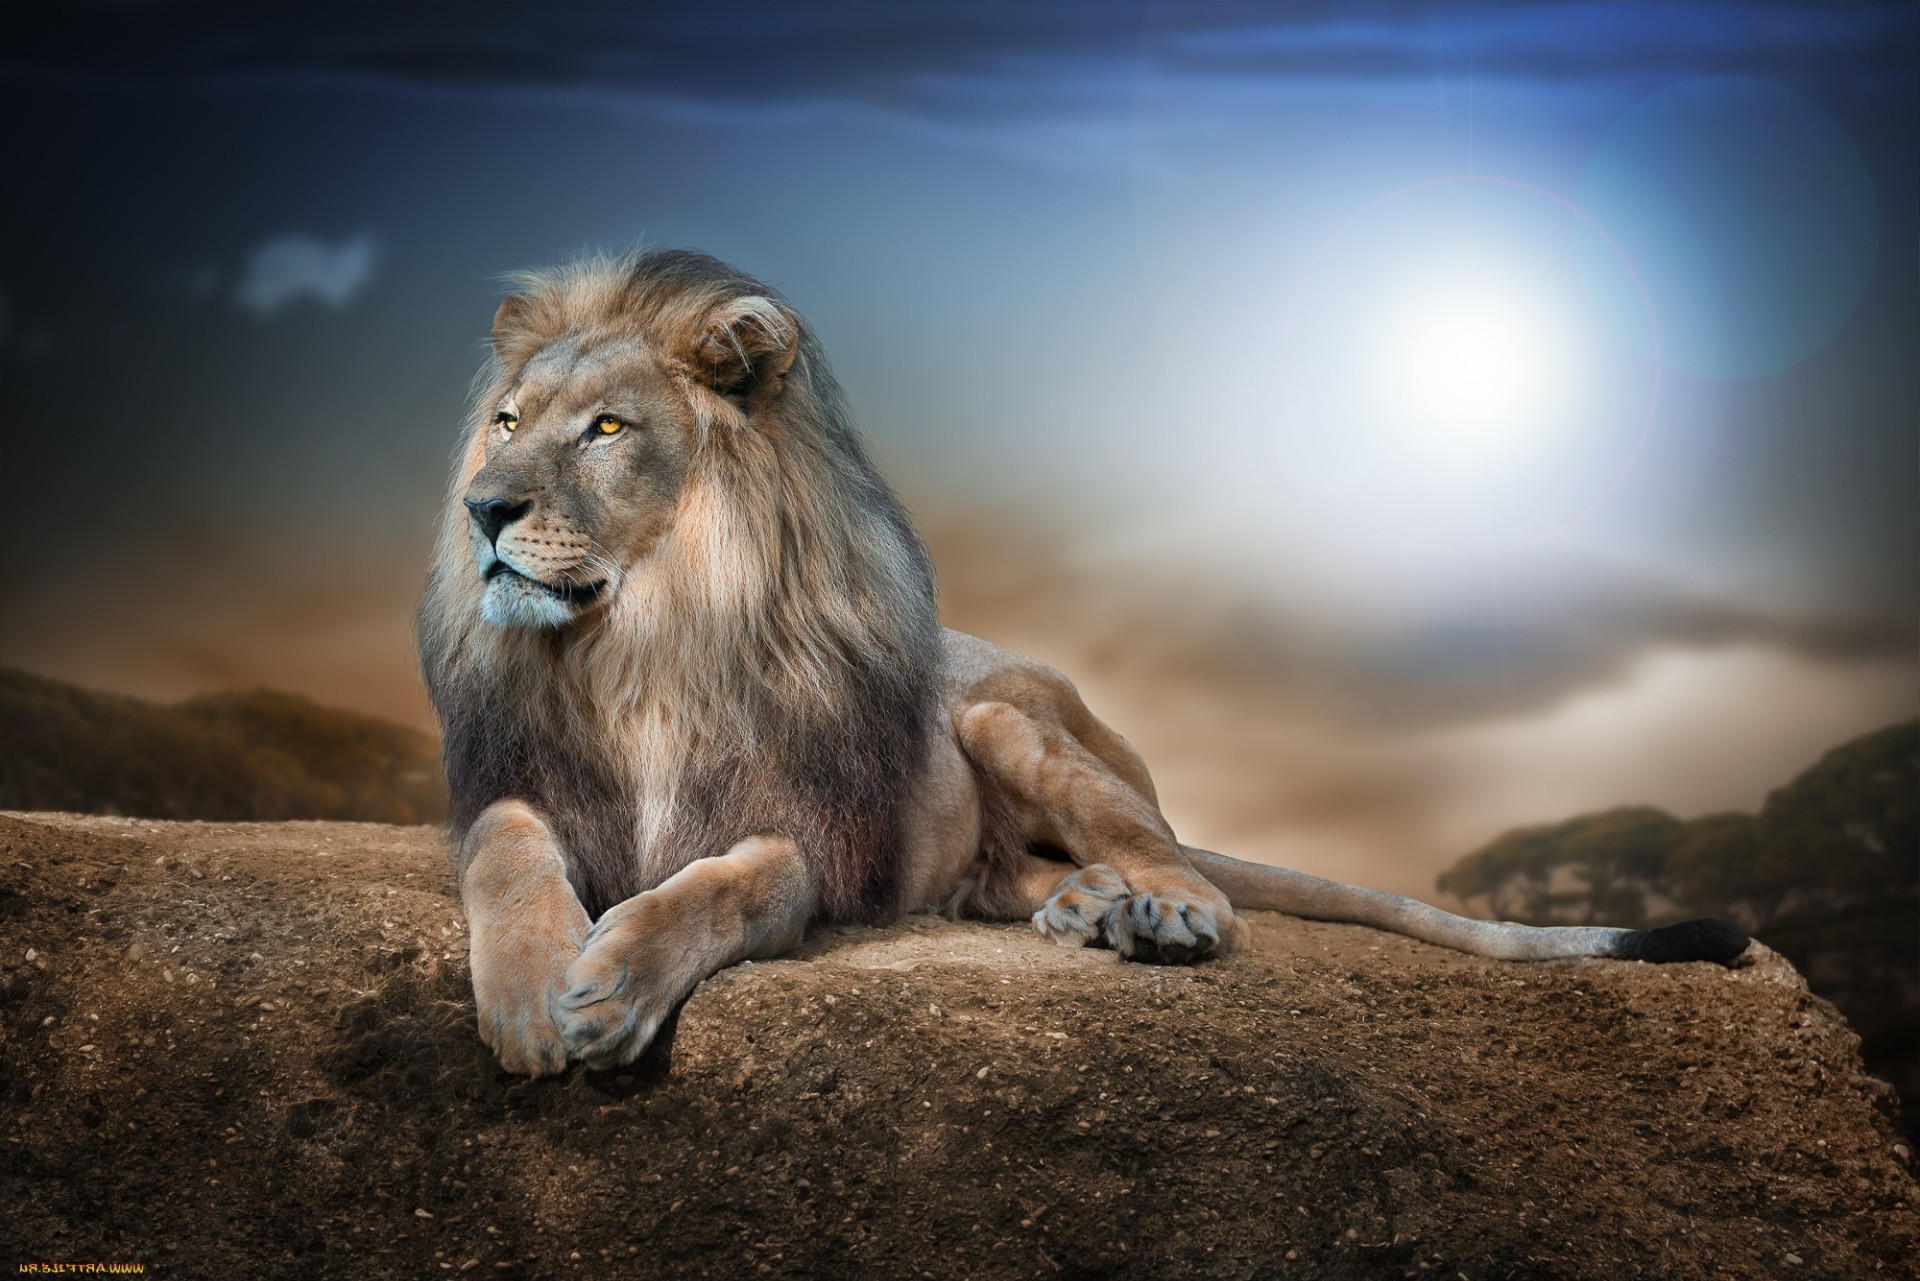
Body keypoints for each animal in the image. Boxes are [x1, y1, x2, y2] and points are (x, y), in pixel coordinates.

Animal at [417, 249, 1749, 1076]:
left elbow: (718, 889)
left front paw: (611, 984)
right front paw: (535, 992)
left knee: (1178, 859)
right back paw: (1086, 908)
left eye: (606, 429)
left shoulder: (803, 836)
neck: (640, 643)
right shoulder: (521, 786)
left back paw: (1157, 913)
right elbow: (507, 854)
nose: (483, 509)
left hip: (1007, 719)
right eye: (505, 423)